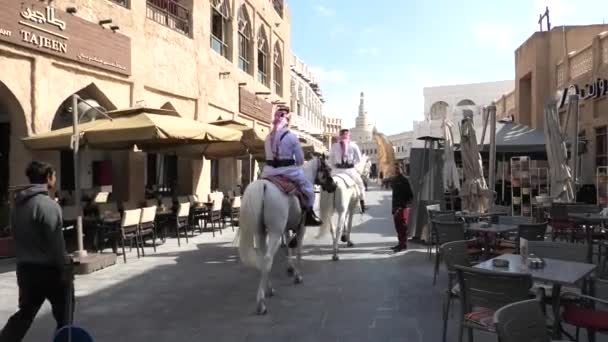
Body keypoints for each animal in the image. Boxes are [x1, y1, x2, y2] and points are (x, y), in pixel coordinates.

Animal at [236, 156, 332, 314]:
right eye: (328, 168)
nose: (333, 185)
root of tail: (263, 186)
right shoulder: (301, 227)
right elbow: (298, 250)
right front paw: (298, 275)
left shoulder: (286, 228)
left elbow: (287, 247)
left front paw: (290, 268)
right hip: (275, 231)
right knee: (268, 258)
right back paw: (261, 303)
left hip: (261, 232)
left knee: (263, 259)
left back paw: (269, 289)